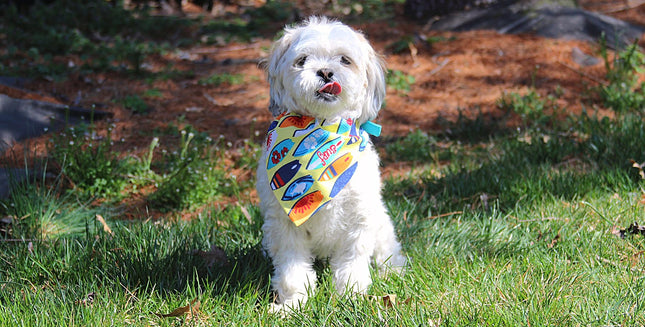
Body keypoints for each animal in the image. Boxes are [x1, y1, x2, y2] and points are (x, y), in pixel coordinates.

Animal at [255, 16, 402, 312]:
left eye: (345, 60)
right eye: (302, 60)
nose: (325, 72)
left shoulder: (358, 219)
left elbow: (352, 264)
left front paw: (351, 297)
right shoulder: (284, 226)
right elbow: (292, 270)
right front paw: (293, 304)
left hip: (380, 223)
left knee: (387, 250)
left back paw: (392, 269)